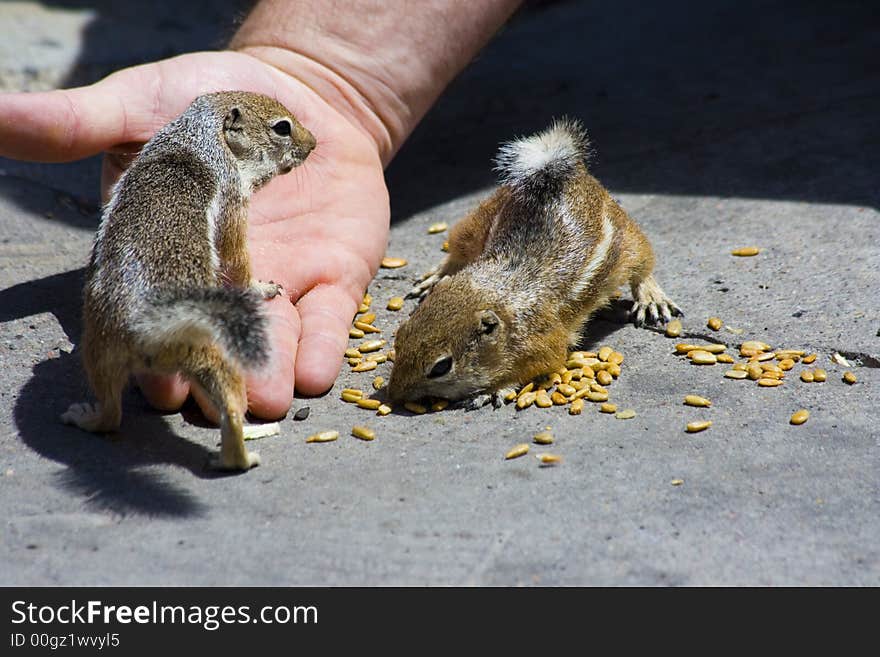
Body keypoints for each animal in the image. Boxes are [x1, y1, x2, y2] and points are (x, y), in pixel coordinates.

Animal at [61, 91, 316, 472]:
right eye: (282, 127)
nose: (314, 144)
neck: (196, 138)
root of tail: (150, 329)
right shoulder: (233, 200)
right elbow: (237, 259)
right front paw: (262, 288)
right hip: (215, 352)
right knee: (229, 409)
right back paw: (243, 450)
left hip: (100, 351)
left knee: (111, 413)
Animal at [384, 116, 680, 408]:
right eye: (400, 334)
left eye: (440, 367)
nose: (394, 394)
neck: (494, 294)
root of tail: (570, 171)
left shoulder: (544, 342)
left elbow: (544, 364)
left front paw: (494, 390)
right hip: (476, 222)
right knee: (457, 252)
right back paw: (435, 276)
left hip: (629, 241)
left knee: (643, 269)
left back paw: (652, 298)